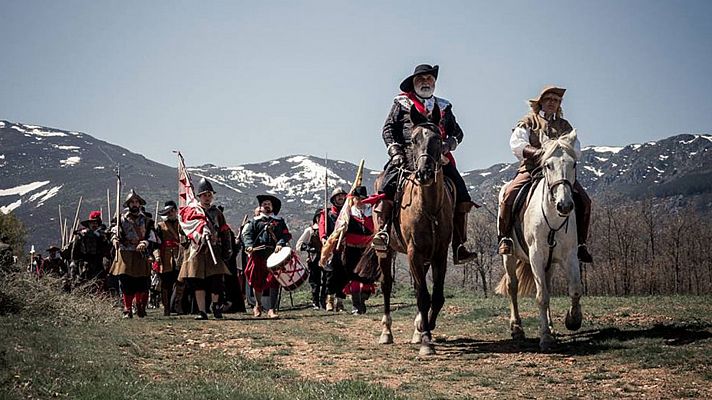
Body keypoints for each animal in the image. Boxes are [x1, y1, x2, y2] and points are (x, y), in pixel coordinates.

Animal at [358, 104, 454, 356]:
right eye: (414, 139)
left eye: (438, 138)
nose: (424, 173)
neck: (429, 208)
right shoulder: (413, 252)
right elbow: (422, 296)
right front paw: (427, 342)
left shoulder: (439, 254)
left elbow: (436, 297)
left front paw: (425, 328)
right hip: (386, 252)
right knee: (386, 285)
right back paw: (386, 333)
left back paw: (417, 330)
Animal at [498, 130, 580, 350]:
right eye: (548, 165)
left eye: (573, 164)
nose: (564, 205)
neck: (553, 219)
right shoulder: (536, 257)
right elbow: (541, 297)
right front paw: (544, 338)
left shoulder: (570, 256)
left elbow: (574, 290)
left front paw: (573, 320)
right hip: (509, 257)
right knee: (513, 286)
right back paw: (517, 328)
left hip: (549, 264)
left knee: (548, 287)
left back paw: (551, 326)